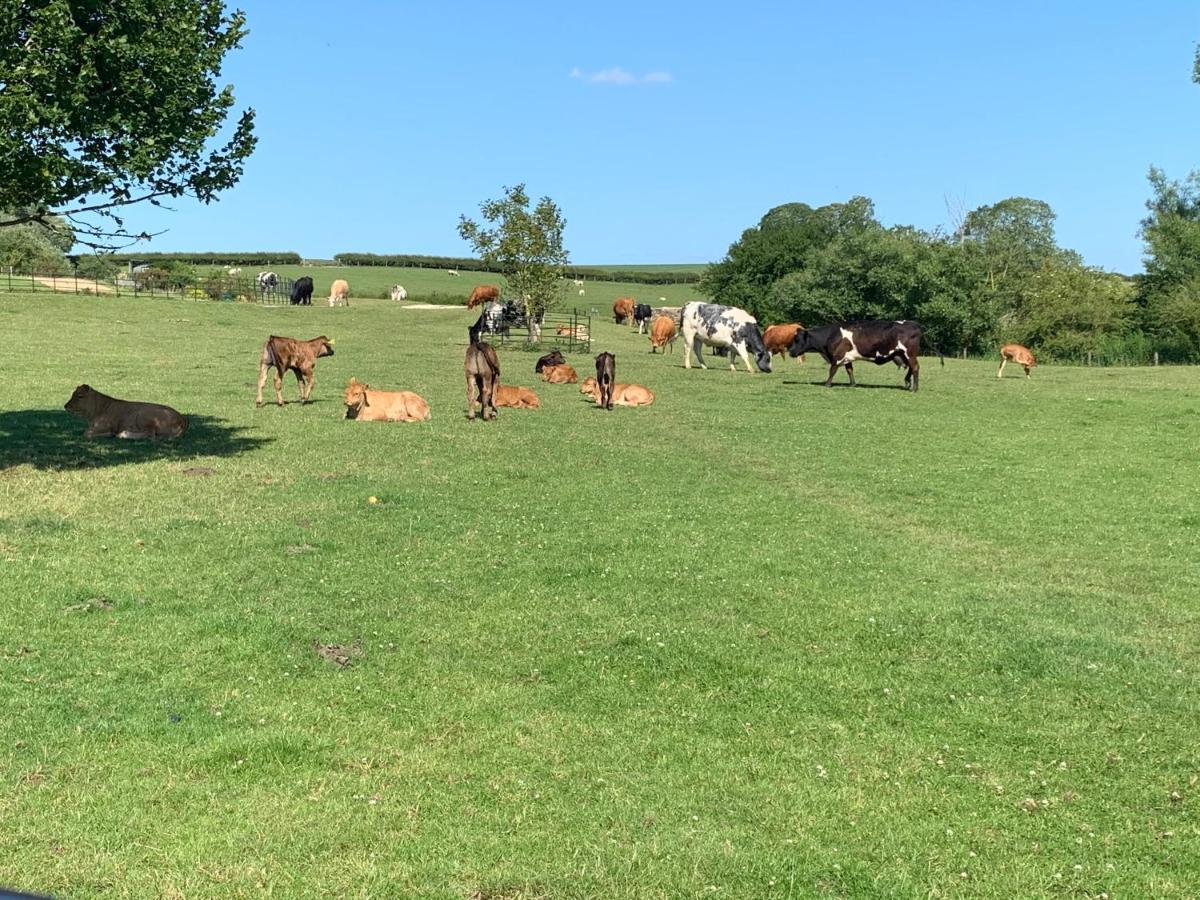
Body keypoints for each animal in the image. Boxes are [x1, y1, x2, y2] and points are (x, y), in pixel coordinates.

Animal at [787, 321, 936, 391]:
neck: (831, 335)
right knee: (911, 368)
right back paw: (907, 383)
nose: (791, 352)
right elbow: (849, 370)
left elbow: (832, 370)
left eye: (797, 340)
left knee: (915, 367)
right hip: (903, 354)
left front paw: (827, 384)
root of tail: (913, 324)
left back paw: (914, 388)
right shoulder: (847, 358)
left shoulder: (837, 356)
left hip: (909, 353)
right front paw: (852, 384)